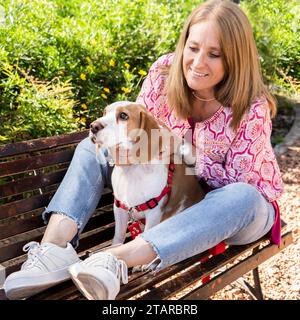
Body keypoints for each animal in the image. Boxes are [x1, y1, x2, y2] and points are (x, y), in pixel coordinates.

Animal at [90, 102, 205, 245]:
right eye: (104, 112)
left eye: (123, 115)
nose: (93, 126)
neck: (132, 171)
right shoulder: (119, 208)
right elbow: (118, 237)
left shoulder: (153, 214)